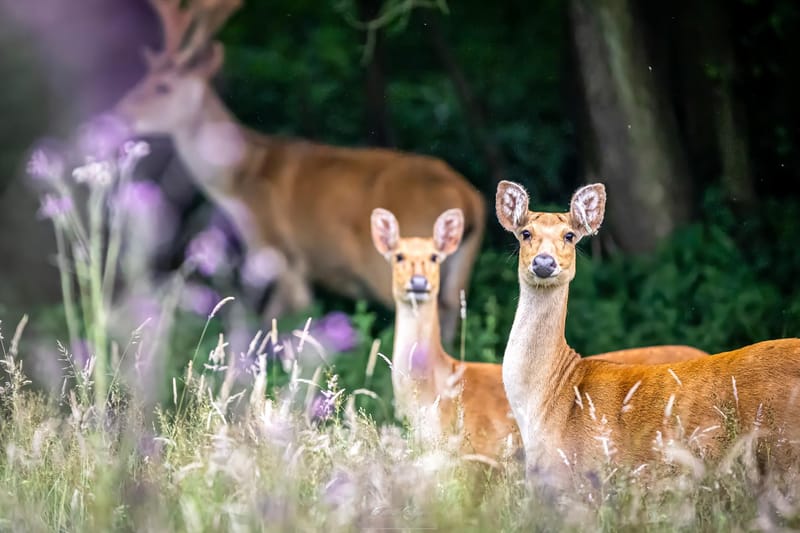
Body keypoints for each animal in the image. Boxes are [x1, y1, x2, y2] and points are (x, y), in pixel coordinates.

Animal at [111, 0, 485, 341]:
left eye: (163, 86)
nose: (121, 113)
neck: (241, 175)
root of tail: (468, 199)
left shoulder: (279, 248)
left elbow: (285, 319)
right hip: (460, 273)